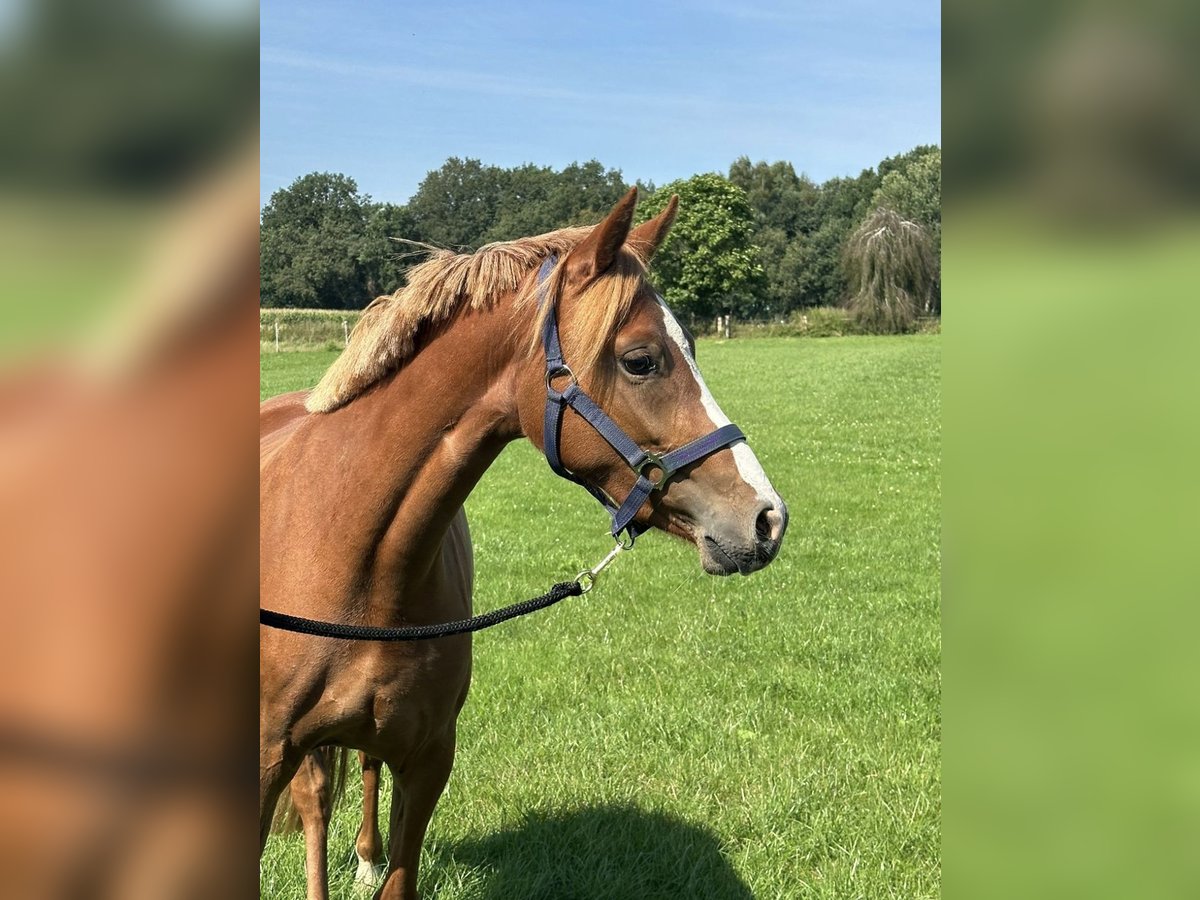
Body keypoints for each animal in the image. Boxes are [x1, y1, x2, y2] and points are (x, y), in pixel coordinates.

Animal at [260, 187, 787, 897]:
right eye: (640, 360)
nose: (767, 519)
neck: (356, 559)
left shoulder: (428, 760)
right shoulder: (266, 762)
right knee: (317, 802)